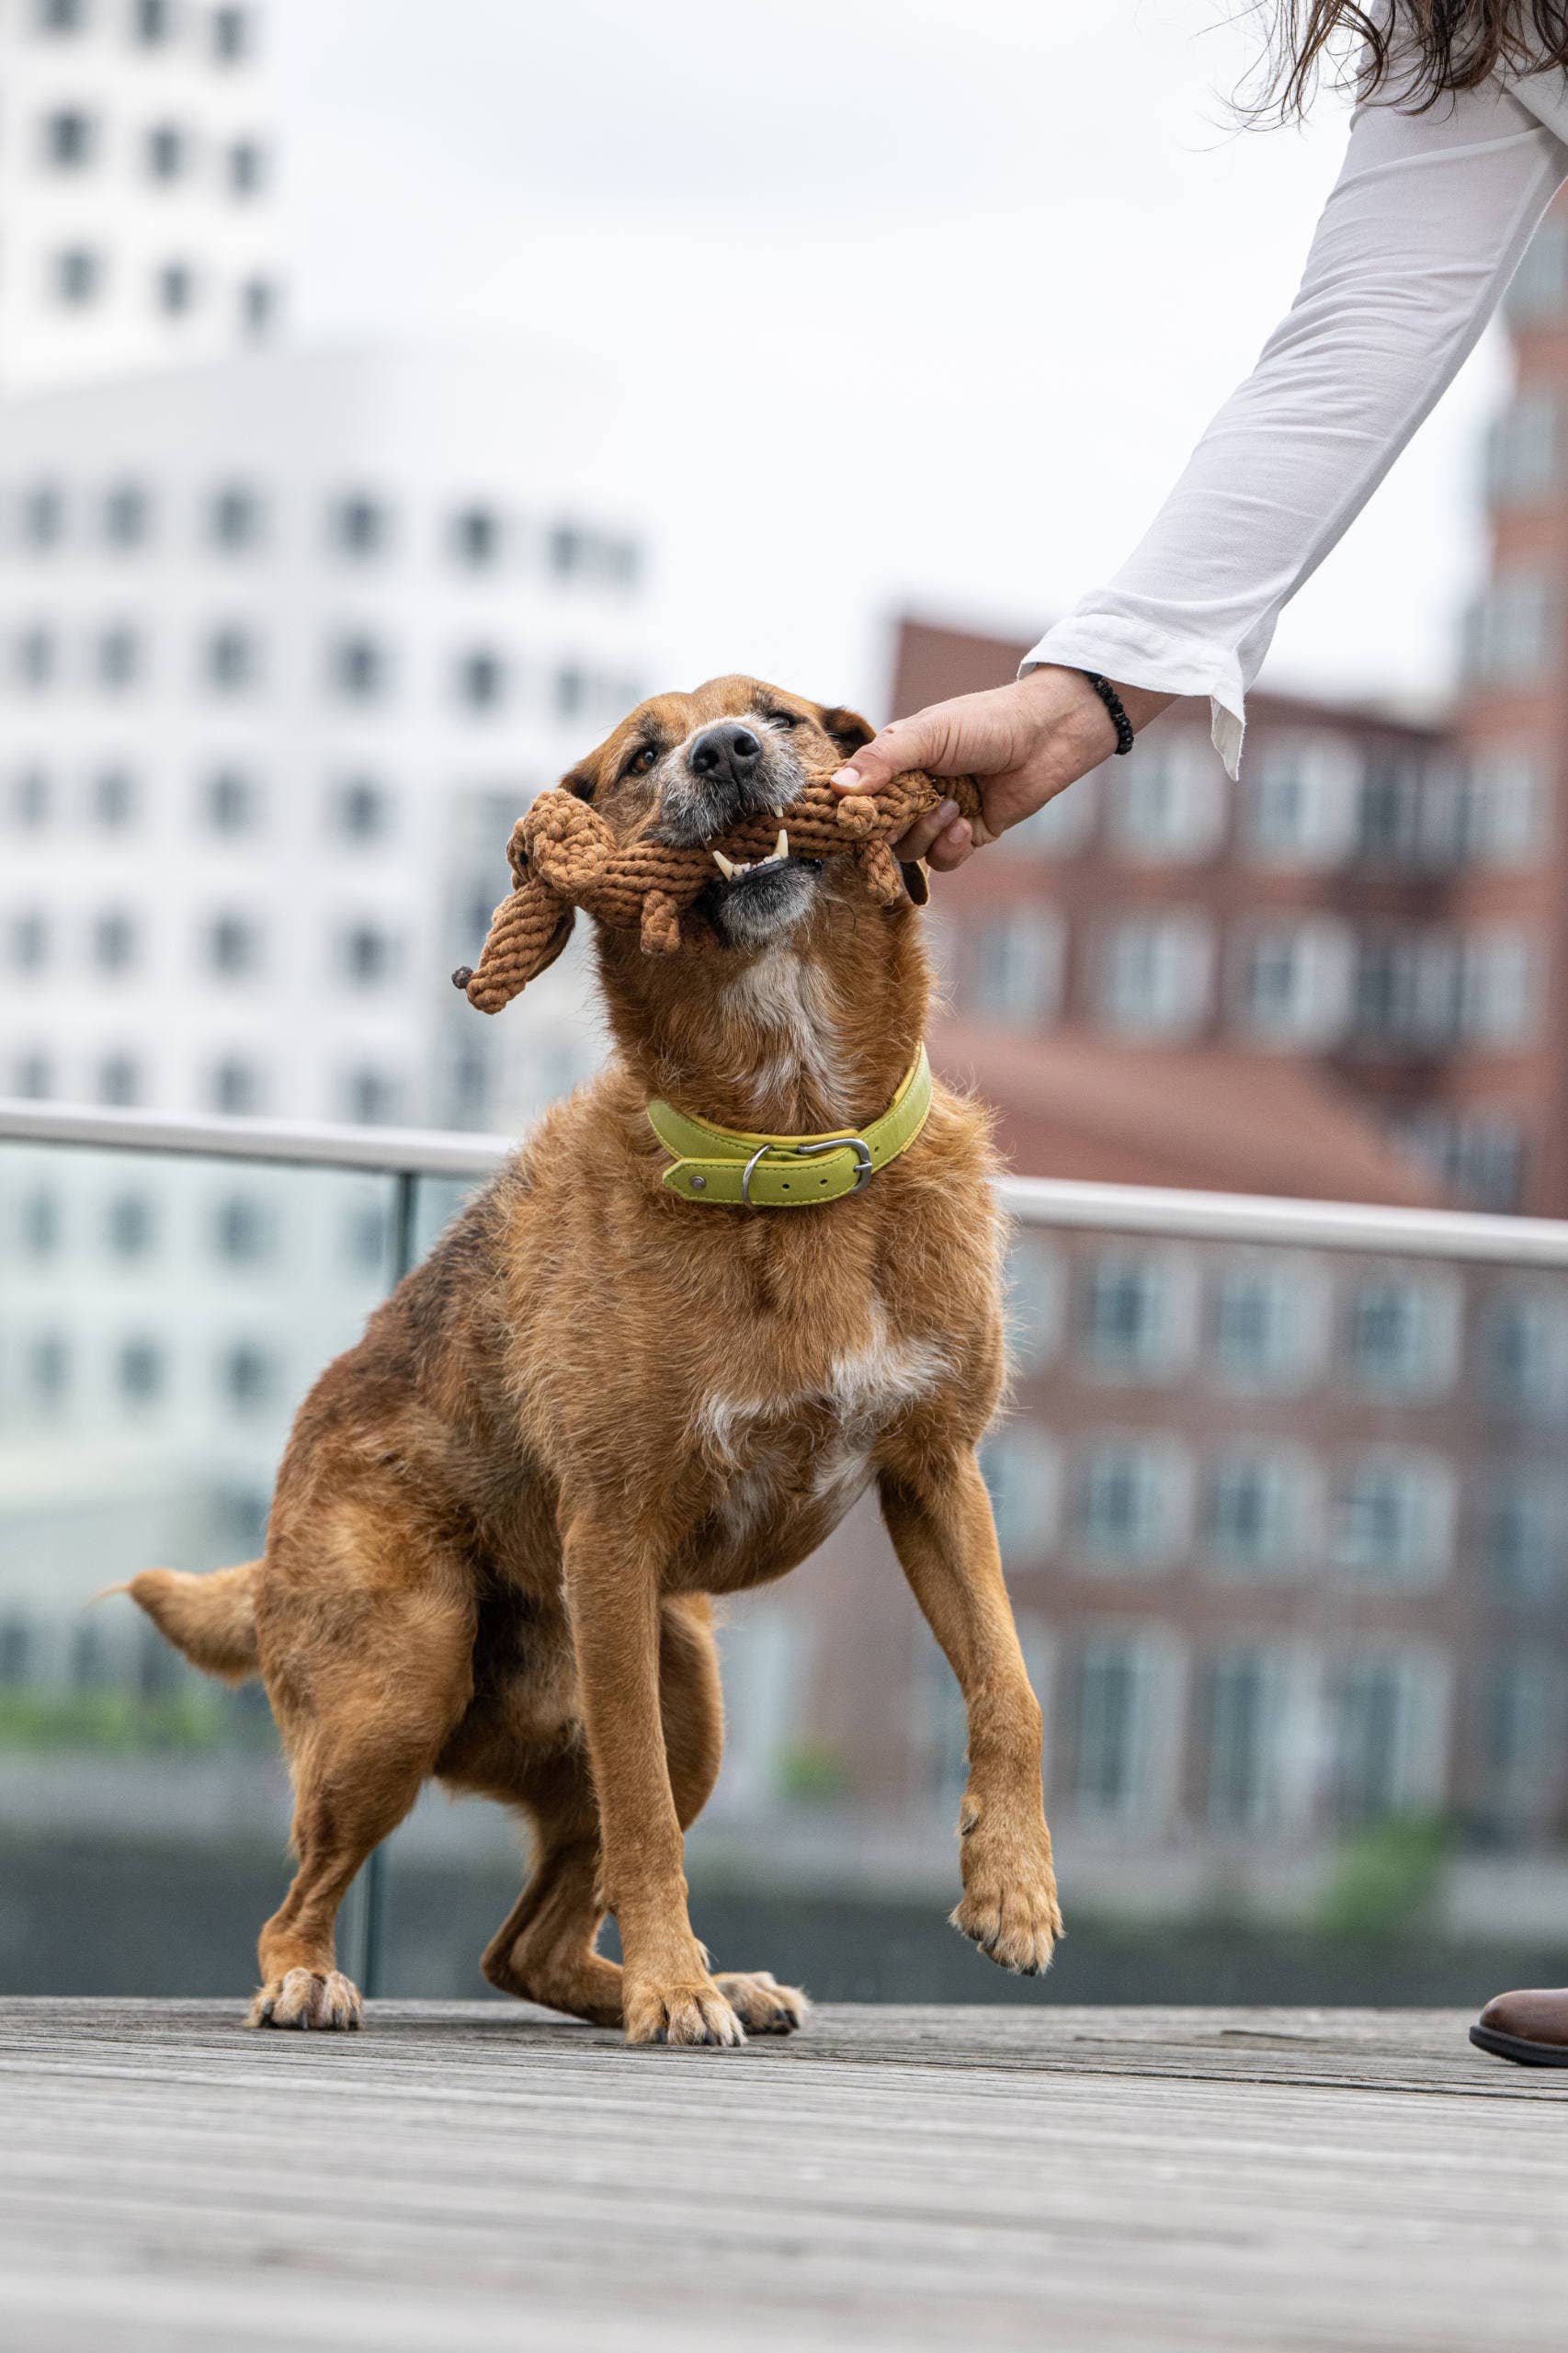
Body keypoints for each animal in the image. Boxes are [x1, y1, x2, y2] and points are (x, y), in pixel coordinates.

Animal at [131, 682, 1063, 2042]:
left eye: (780, 714)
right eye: (639, 756)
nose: (725, 751)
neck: (784, 1148)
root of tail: (267, 1552)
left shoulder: (935, 1474)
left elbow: (1009, 1685)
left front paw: (1012, 1888)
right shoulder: (614, 1542)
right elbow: (639, 1808)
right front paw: (672, 1984)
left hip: (696, 1698)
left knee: (524, 1946)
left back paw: (709, 1983)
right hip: (403, 1682)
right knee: (311, 1893)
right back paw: (322, 1977)